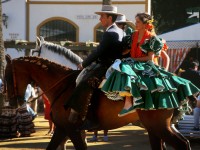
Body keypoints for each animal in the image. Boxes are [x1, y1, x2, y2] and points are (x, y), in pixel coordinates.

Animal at [5, 55, 191, 150]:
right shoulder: (62, 129)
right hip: (155, 127)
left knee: (182, 144)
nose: (12, 103)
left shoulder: (71, 129)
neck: (62, 86)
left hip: (159, 126)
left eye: (7, 75)